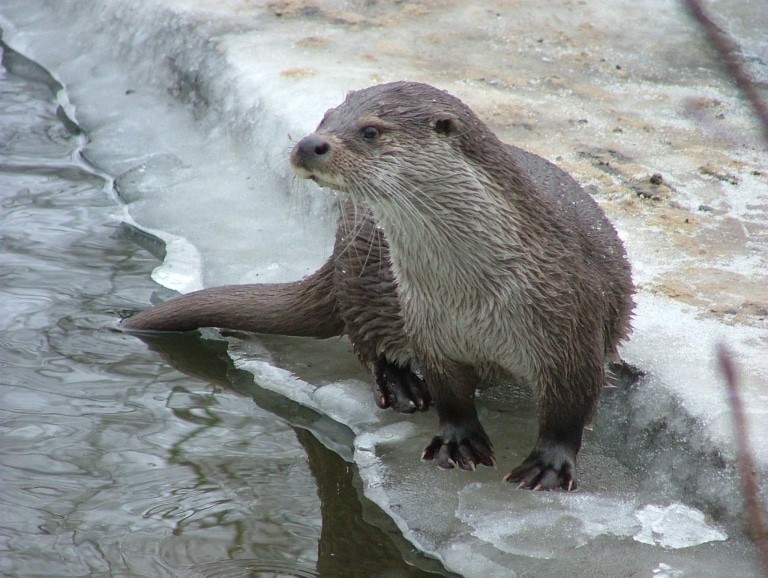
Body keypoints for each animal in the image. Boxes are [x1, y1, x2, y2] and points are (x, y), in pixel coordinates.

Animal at [123, 81, 634, 490]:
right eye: (324, 118)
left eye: (370, 131)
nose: (309, 143)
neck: (475, 297)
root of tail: (336, 256)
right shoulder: (430, 328)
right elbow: (451, 396)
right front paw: (458, 440)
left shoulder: (570, 326)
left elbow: (568, 410)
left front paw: (548, 465)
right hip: (363, 286)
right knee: (367, 341)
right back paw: (401, 385)